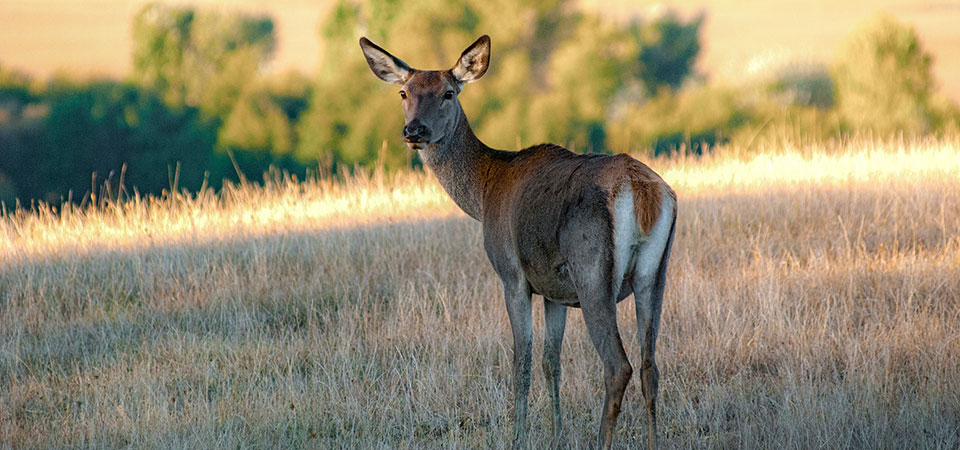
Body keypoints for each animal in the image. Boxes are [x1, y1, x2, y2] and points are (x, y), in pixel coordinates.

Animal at [358, 35, 676, 450]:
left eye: (448, 93)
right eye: (404, 92)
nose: (414, 130)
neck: (484, 191)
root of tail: (642, 192)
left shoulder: (512, 275)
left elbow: (520, 363)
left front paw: (518, 437)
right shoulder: (555, 290)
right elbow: (550, 362)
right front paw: (557, 436)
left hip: (592, 269)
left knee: (617, 365)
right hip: (656, 272)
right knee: (650, 366)